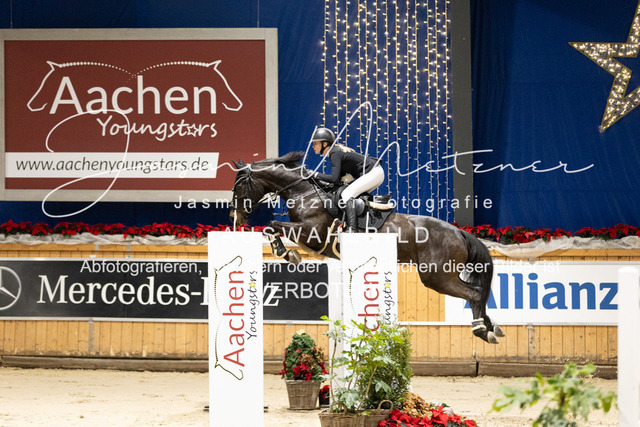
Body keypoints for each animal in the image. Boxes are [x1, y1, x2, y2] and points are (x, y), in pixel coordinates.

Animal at [230, 151, 504, 344]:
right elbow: (272, 227)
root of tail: (459, 232)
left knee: (474, 293)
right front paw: (286, 252)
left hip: (436, 276)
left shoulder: (312, 233)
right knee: (479, 292)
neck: (304, 192)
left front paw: (286, 253)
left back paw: (482, 330)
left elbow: (271, 225)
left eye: (239, 185)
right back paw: (492, 327)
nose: (235, 216)